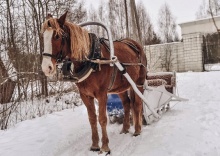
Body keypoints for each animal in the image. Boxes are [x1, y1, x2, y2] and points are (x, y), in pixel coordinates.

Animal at [40, 11, 148, 153]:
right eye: (43, 36)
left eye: (57, 36)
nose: (46, 67)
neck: (91, 60)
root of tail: (134, 44)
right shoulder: (85, 95)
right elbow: (92, 119)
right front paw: (95, 145)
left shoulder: (102, 94)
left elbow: (102, 119)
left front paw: (105, 146)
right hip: (121, 87)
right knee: (127, 104)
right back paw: (125, 129)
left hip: (138, 82)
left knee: (137, 104)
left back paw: (137, 130)